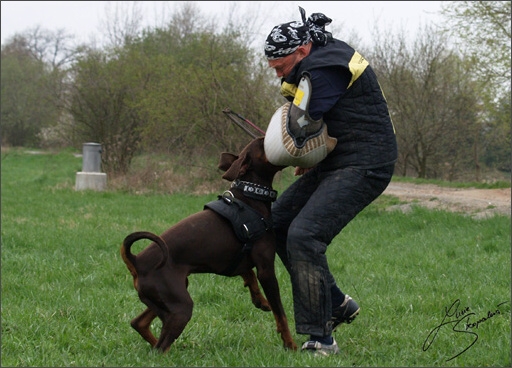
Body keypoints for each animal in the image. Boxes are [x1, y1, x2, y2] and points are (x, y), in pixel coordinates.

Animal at [120, 138, 296, 354]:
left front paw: (260, 300)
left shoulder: (237, 261)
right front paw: (290, 344)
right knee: (161, 347)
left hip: (167, 299)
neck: (249, 197)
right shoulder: (266, 269)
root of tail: (137, 262)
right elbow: (281, 314)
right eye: (264, 144)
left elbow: (248, 275)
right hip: (180, 308)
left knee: (139, 324)